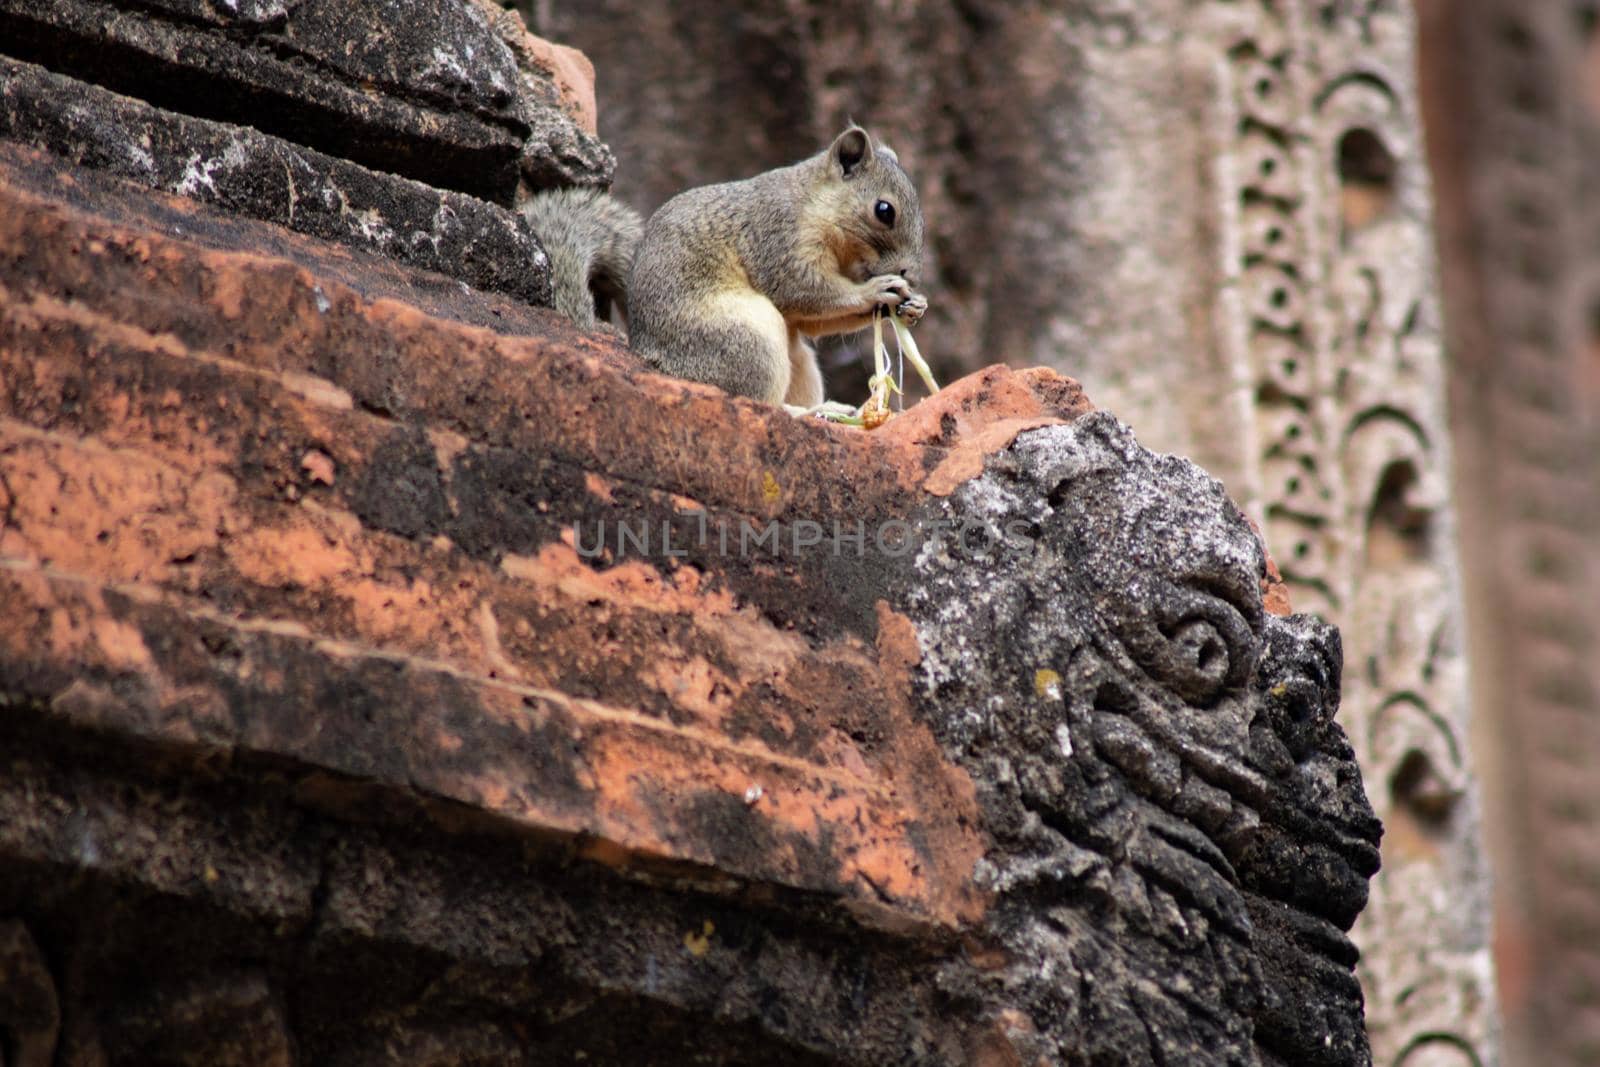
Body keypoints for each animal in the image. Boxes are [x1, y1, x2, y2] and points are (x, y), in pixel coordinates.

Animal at [521, 126, 928, 409]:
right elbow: (805, 292)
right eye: (884, 211)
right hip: (747, 340)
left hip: (797, 361)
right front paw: (876, 291)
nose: (910, 272)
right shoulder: (778, 243)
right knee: (757, 401)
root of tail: (653, 359)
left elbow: (815, 320)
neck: (813, 204)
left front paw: (912, 305)